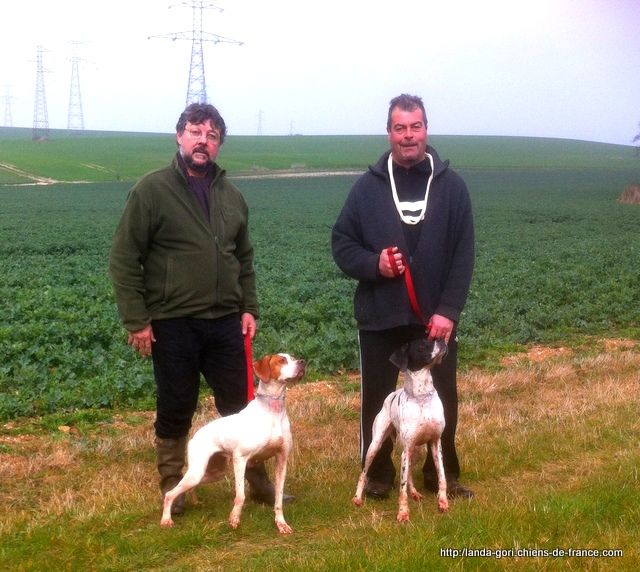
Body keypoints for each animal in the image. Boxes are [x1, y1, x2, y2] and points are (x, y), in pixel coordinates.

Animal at [352, 340, 448, 524]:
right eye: (422, 346)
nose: (441, 340)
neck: (422, 397)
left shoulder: (435, 444)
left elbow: (442, 477)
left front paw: (443, 503)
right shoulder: (407, 449)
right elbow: (401, 489)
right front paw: (403, 513)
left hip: (416, 450)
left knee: (409, 473)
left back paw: (415, 493)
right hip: (375, 446)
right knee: (364, 473)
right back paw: (357, 498)